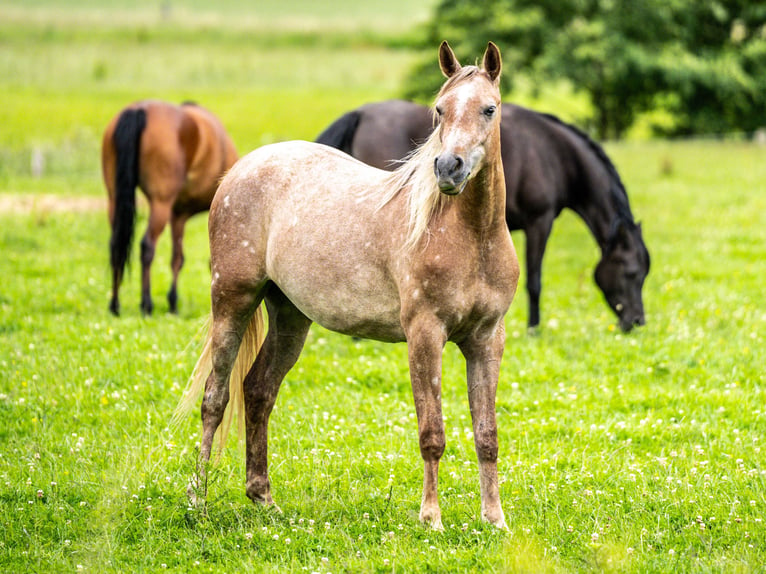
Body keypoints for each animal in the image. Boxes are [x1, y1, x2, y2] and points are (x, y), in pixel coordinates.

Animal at [102, 99, 238, 316]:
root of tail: (139, 109)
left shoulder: (179, 214)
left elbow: (177, 258)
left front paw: (172, 302)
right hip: (160, 203)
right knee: (147, 246)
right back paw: (146, 304)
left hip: (114, 198)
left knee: (116, 245)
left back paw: (115, 304)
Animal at [178, 42, 520, 532]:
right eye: (440, 110)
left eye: (489, 109)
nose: (448, 168)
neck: (470, 237)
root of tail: (240, 169)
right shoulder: (425, 334)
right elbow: (432, 433)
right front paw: (431, 519)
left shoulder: (487, 339)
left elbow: (487, 434)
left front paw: (495, 521)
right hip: (232, 302)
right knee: (215, 397)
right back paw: (198, 500)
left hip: (290, 317)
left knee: (258, 391)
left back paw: (263, 498)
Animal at [316, 101, 652, 330]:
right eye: (632, 272)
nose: (637, 321)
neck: (555, 155)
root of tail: (360, 114)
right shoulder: (539, 222)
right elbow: (535, 281)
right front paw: (534, 330)